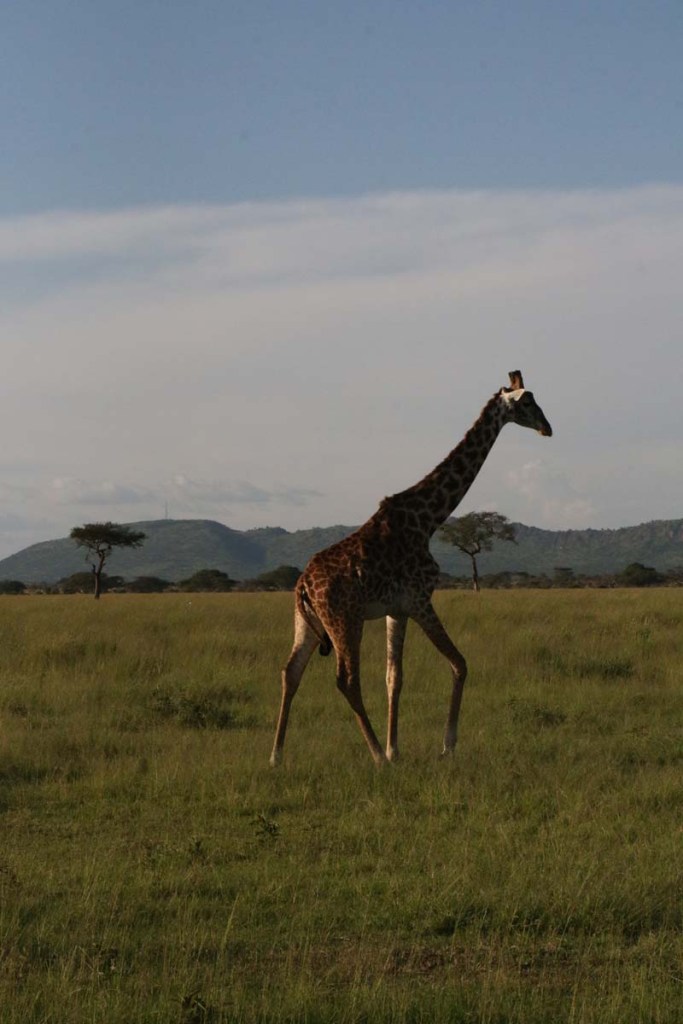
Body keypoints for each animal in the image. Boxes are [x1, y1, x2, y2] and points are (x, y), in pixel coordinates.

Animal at [270, 371, 552, 767]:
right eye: (527, 402)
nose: (547, 428)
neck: (429, 518)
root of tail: (303, 587)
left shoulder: (397, 609)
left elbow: (395, 678)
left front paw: (396, 748)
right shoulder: (420, 599)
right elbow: (460, 663)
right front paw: (446, 745)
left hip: (306, 623)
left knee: (290, 672)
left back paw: (277, 756)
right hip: (345, 620)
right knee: (346, 679)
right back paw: (375, 755)